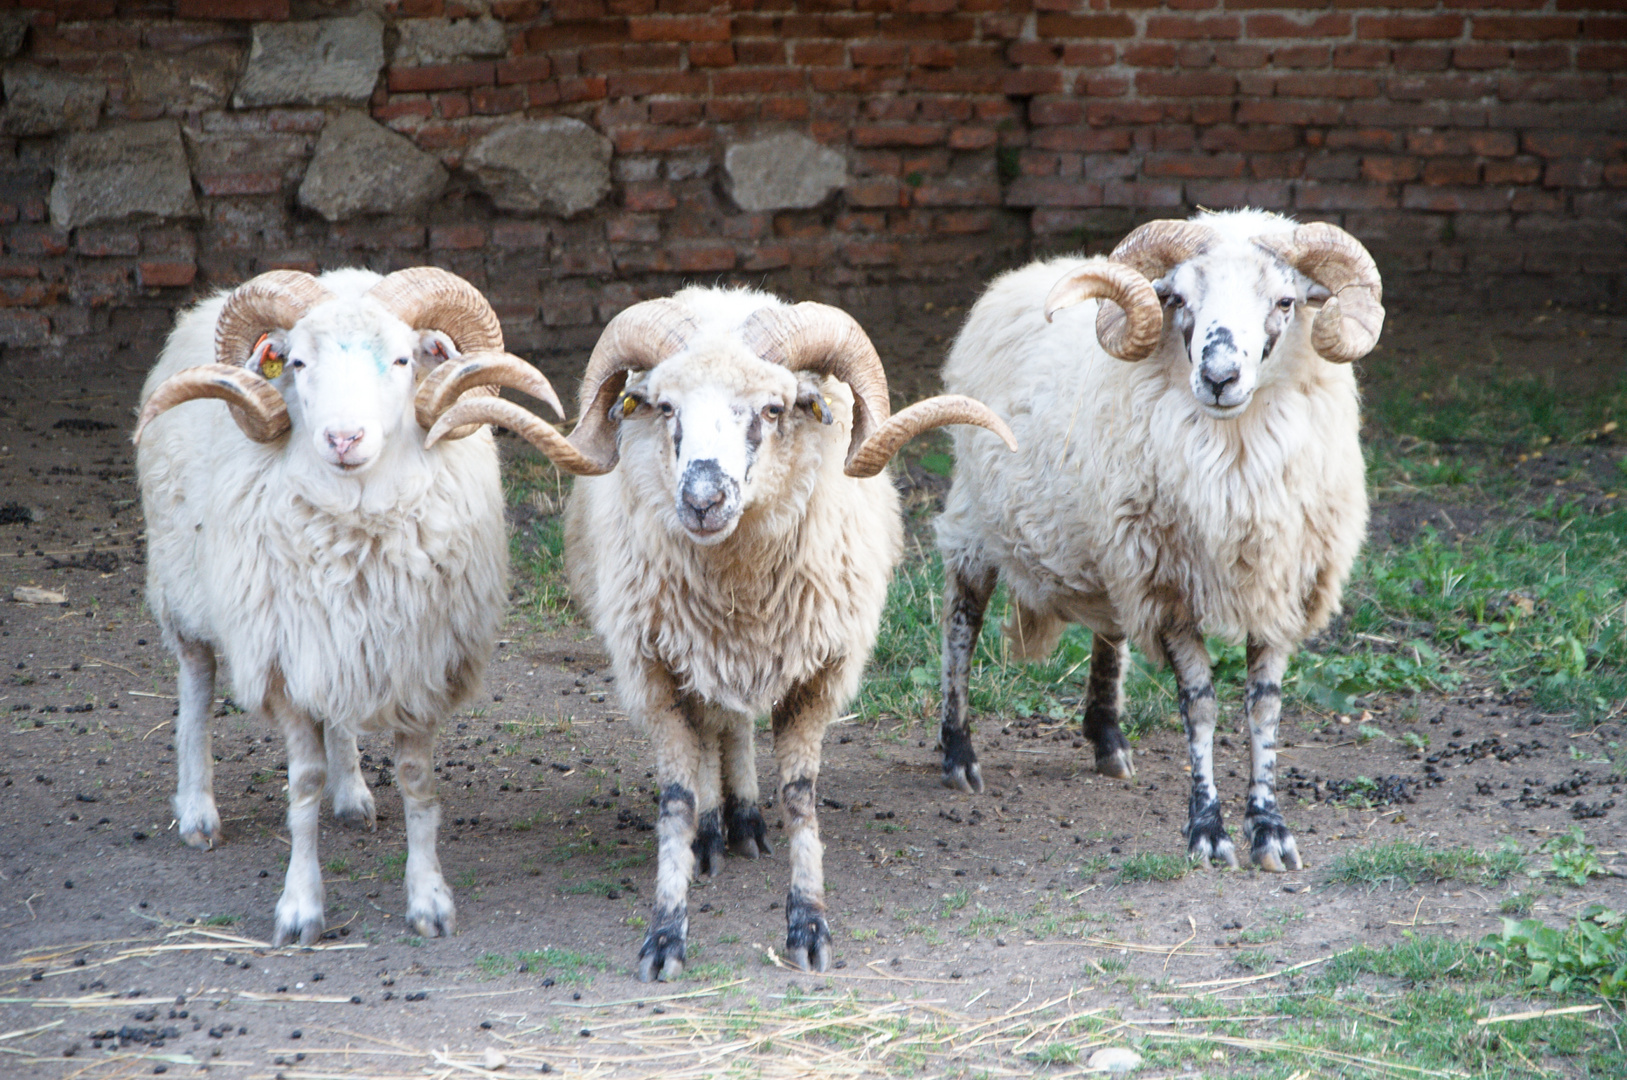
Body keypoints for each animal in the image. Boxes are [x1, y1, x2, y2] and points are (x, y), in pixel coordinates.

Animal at [128, 263, 559, 943]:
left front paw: (429, 900)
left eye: (405, 359)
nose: (343, 437)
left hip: (338, 643)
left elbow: (417, 785)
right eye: (297, 362)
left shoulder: (416, 662)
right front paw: (300, 907)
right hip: (185, 587)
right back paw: (197, 811)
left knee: (339, 715)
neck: (358, 519)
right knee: (196, 686)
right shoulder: (283, 659)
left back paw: (352, 794)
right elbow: (300, 787)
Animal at [432, 286, 1015, 975]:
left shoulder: (819, 671)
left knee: (733, 725)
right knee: (718, 725)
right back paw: (717, 829)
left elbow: (800, 796)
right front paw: (665, 932)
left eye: (773, 407)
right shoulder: (656, 670)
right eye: (664, 406)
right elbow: (677, 799)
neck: (739, 587)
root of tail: (722, 296)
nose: (703, 499)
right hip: (695, 658)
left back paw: (746, 822)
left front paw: (808, 925)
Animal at [937, 208, 1379, 871]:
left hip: (1109, 546)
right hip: (977, 517)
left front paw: (1270, 830)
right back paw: (958, 752)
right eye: (1176, 299)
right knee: (962, 623)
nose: (1219, 377)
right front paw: (1208, 832)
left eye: (1285, 300)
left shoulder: (1277, 581)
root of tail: (1030, 272)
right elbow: (1200, 706)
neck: (1233, 458)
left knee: (1109, 631)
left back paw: (1106, 737)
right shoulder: (1169, 587)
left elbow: (1264, 707)